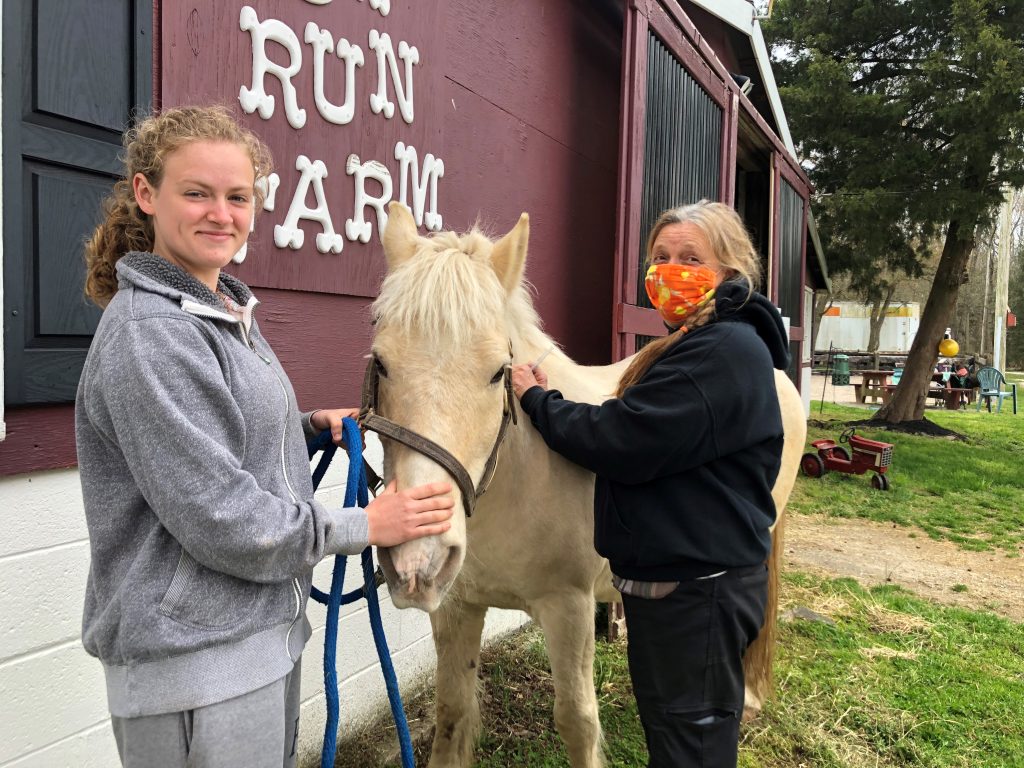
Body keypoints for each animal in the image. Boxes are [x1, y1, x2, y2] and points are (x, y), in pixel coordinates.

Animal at [370, 201, 806, 765]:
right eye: (380, 363)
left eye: (499, 372)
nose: (415, 558)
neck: (518, 480)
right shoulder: (456, 607)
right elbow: (452, 714)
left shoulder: (569, 608)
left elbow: (577, 721)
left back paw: (749, 698)